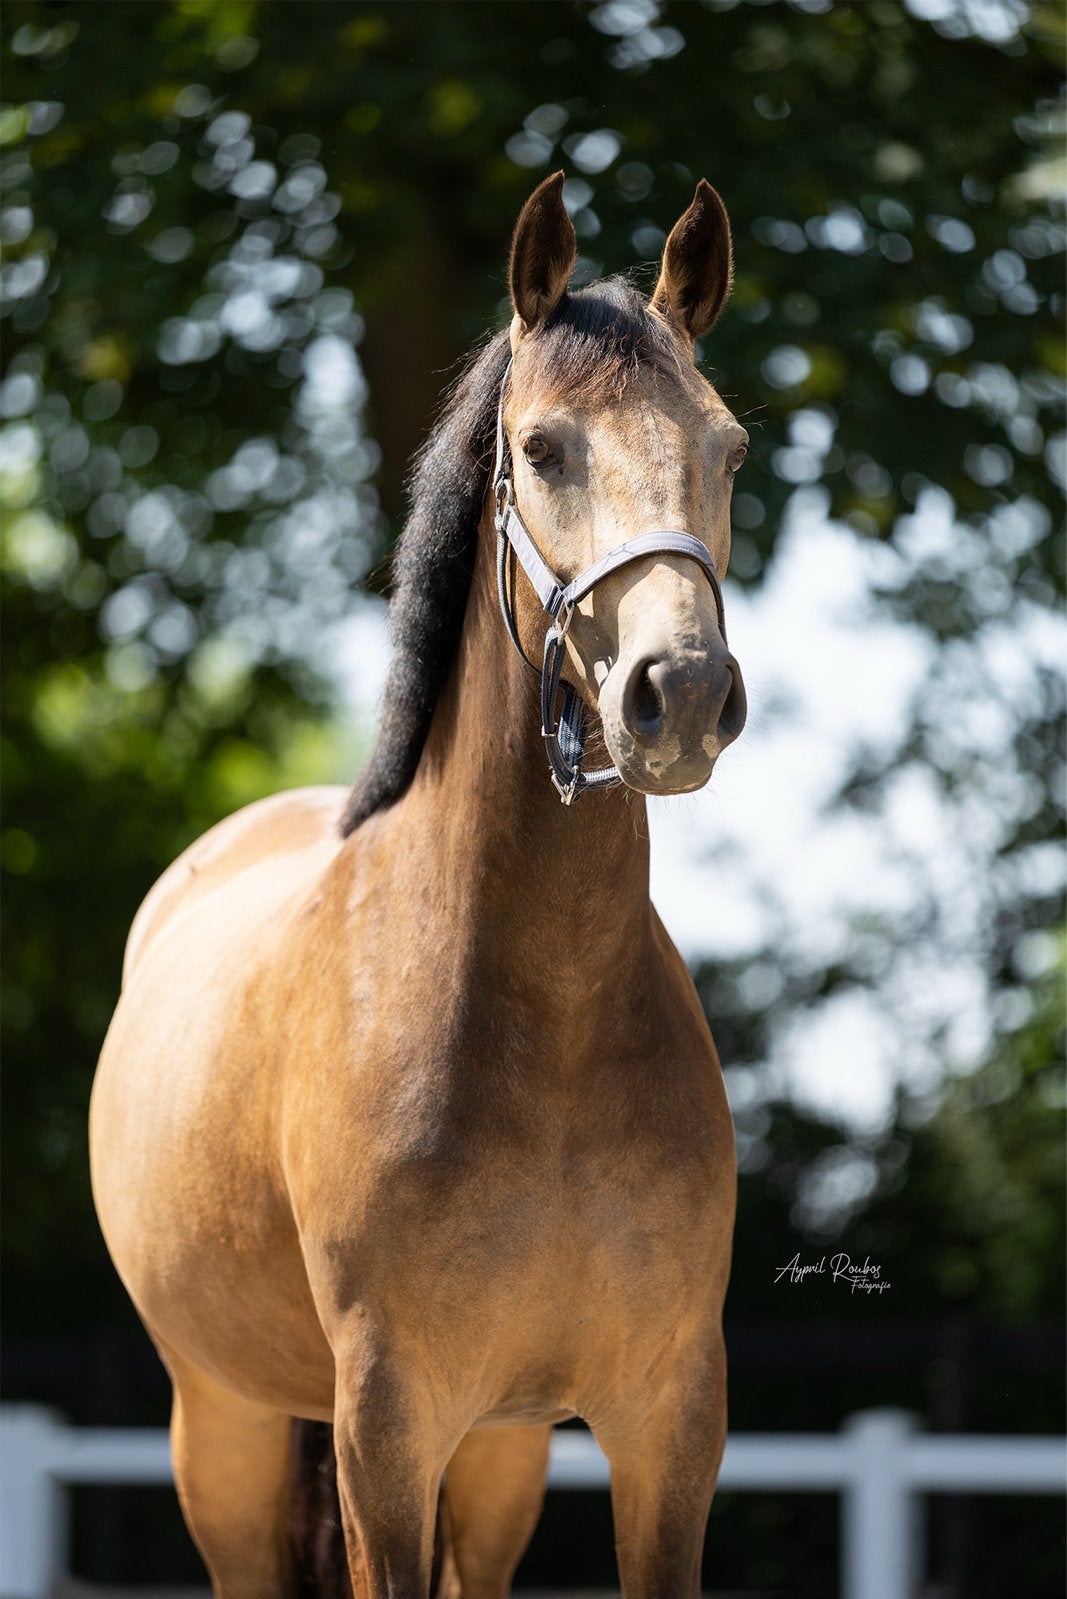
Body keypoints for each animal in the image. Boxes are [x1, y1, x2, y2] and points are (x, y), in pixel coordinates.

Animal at [90, 169, 749, 1598]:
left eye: (727, 449)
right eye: (542, 450)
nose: (677, 695)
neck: (543, 1016)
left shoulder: (667, 1417)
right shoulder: (386, 1423)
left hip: (495, 1454)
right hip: (223, 1426)